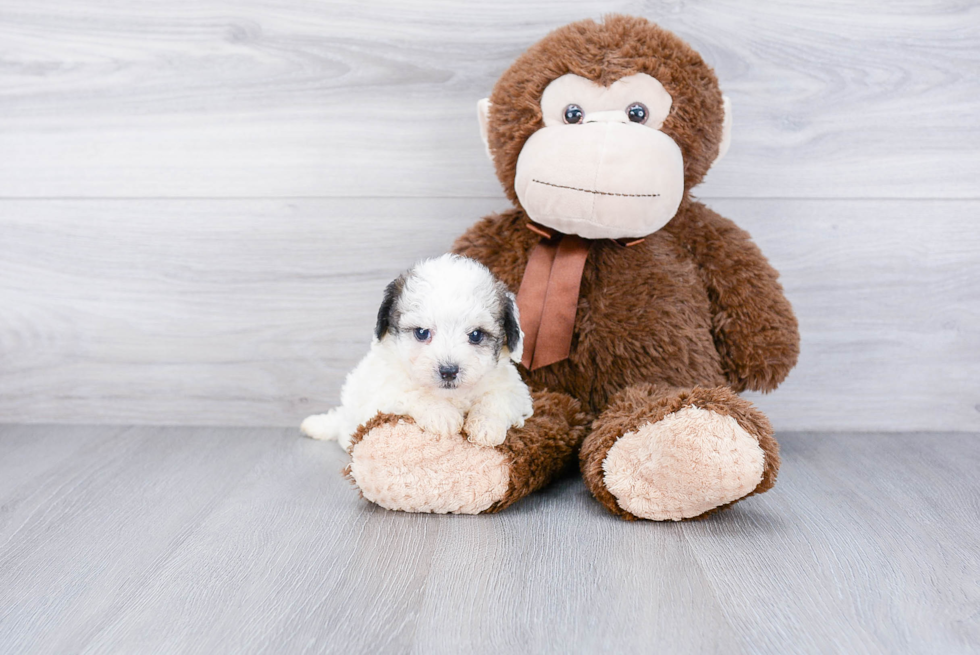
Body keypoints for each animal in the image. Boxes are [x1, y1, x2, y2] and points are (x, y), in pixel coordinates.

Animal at [304, 255, 536, 452]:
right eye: (422, 333)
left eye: (476, 335)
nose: (448, 371)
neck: (451, 395)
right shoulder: (383, 393)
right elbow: (412, 393)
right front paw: (442, 414)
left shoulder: (514, 389)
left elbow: (498, 398)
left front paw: (486, 425)